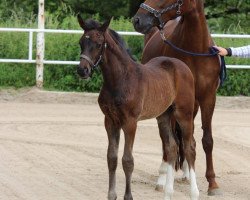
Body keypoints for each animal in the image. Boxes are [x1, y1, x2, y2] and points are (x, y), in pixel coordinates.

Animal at [77, 14, 198, 199]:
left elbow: (127, 160)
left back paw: (194, 193)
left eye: (98, 43)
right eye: (81, 42)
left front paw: (128, 196)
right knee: (171, 147)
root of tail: (182, 66)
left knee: (189, 147)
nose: (82, 70)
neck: (120, 79)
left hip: (184, 114)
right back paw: (168, 193)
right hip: (164, 115)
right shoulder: (110, 121)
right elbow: (111, 158)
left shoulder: (130, 122)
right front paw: (112, 195)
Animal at [134, 0, 222, 195]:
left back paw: (187, 173)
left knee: (186, 136)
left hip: (191, 105)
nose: (137, 19)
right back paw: (163, 176)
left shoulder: (208, 98)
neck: (196, 50)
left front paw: (212, 183)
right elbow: (171, 140)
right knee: (168, 140)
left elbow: (207, 140)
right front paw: (166, 179)